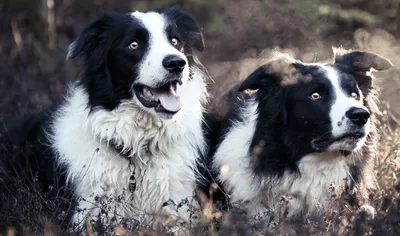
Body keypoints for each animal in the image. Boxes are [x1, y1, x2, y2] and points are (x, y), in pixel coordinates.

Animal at [0, 6, 209, 235]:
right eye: (133, 44)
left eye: (175, 41)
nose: (177, 63)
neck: (137, 152)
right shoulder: (89, 215)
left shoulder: (180, 211)